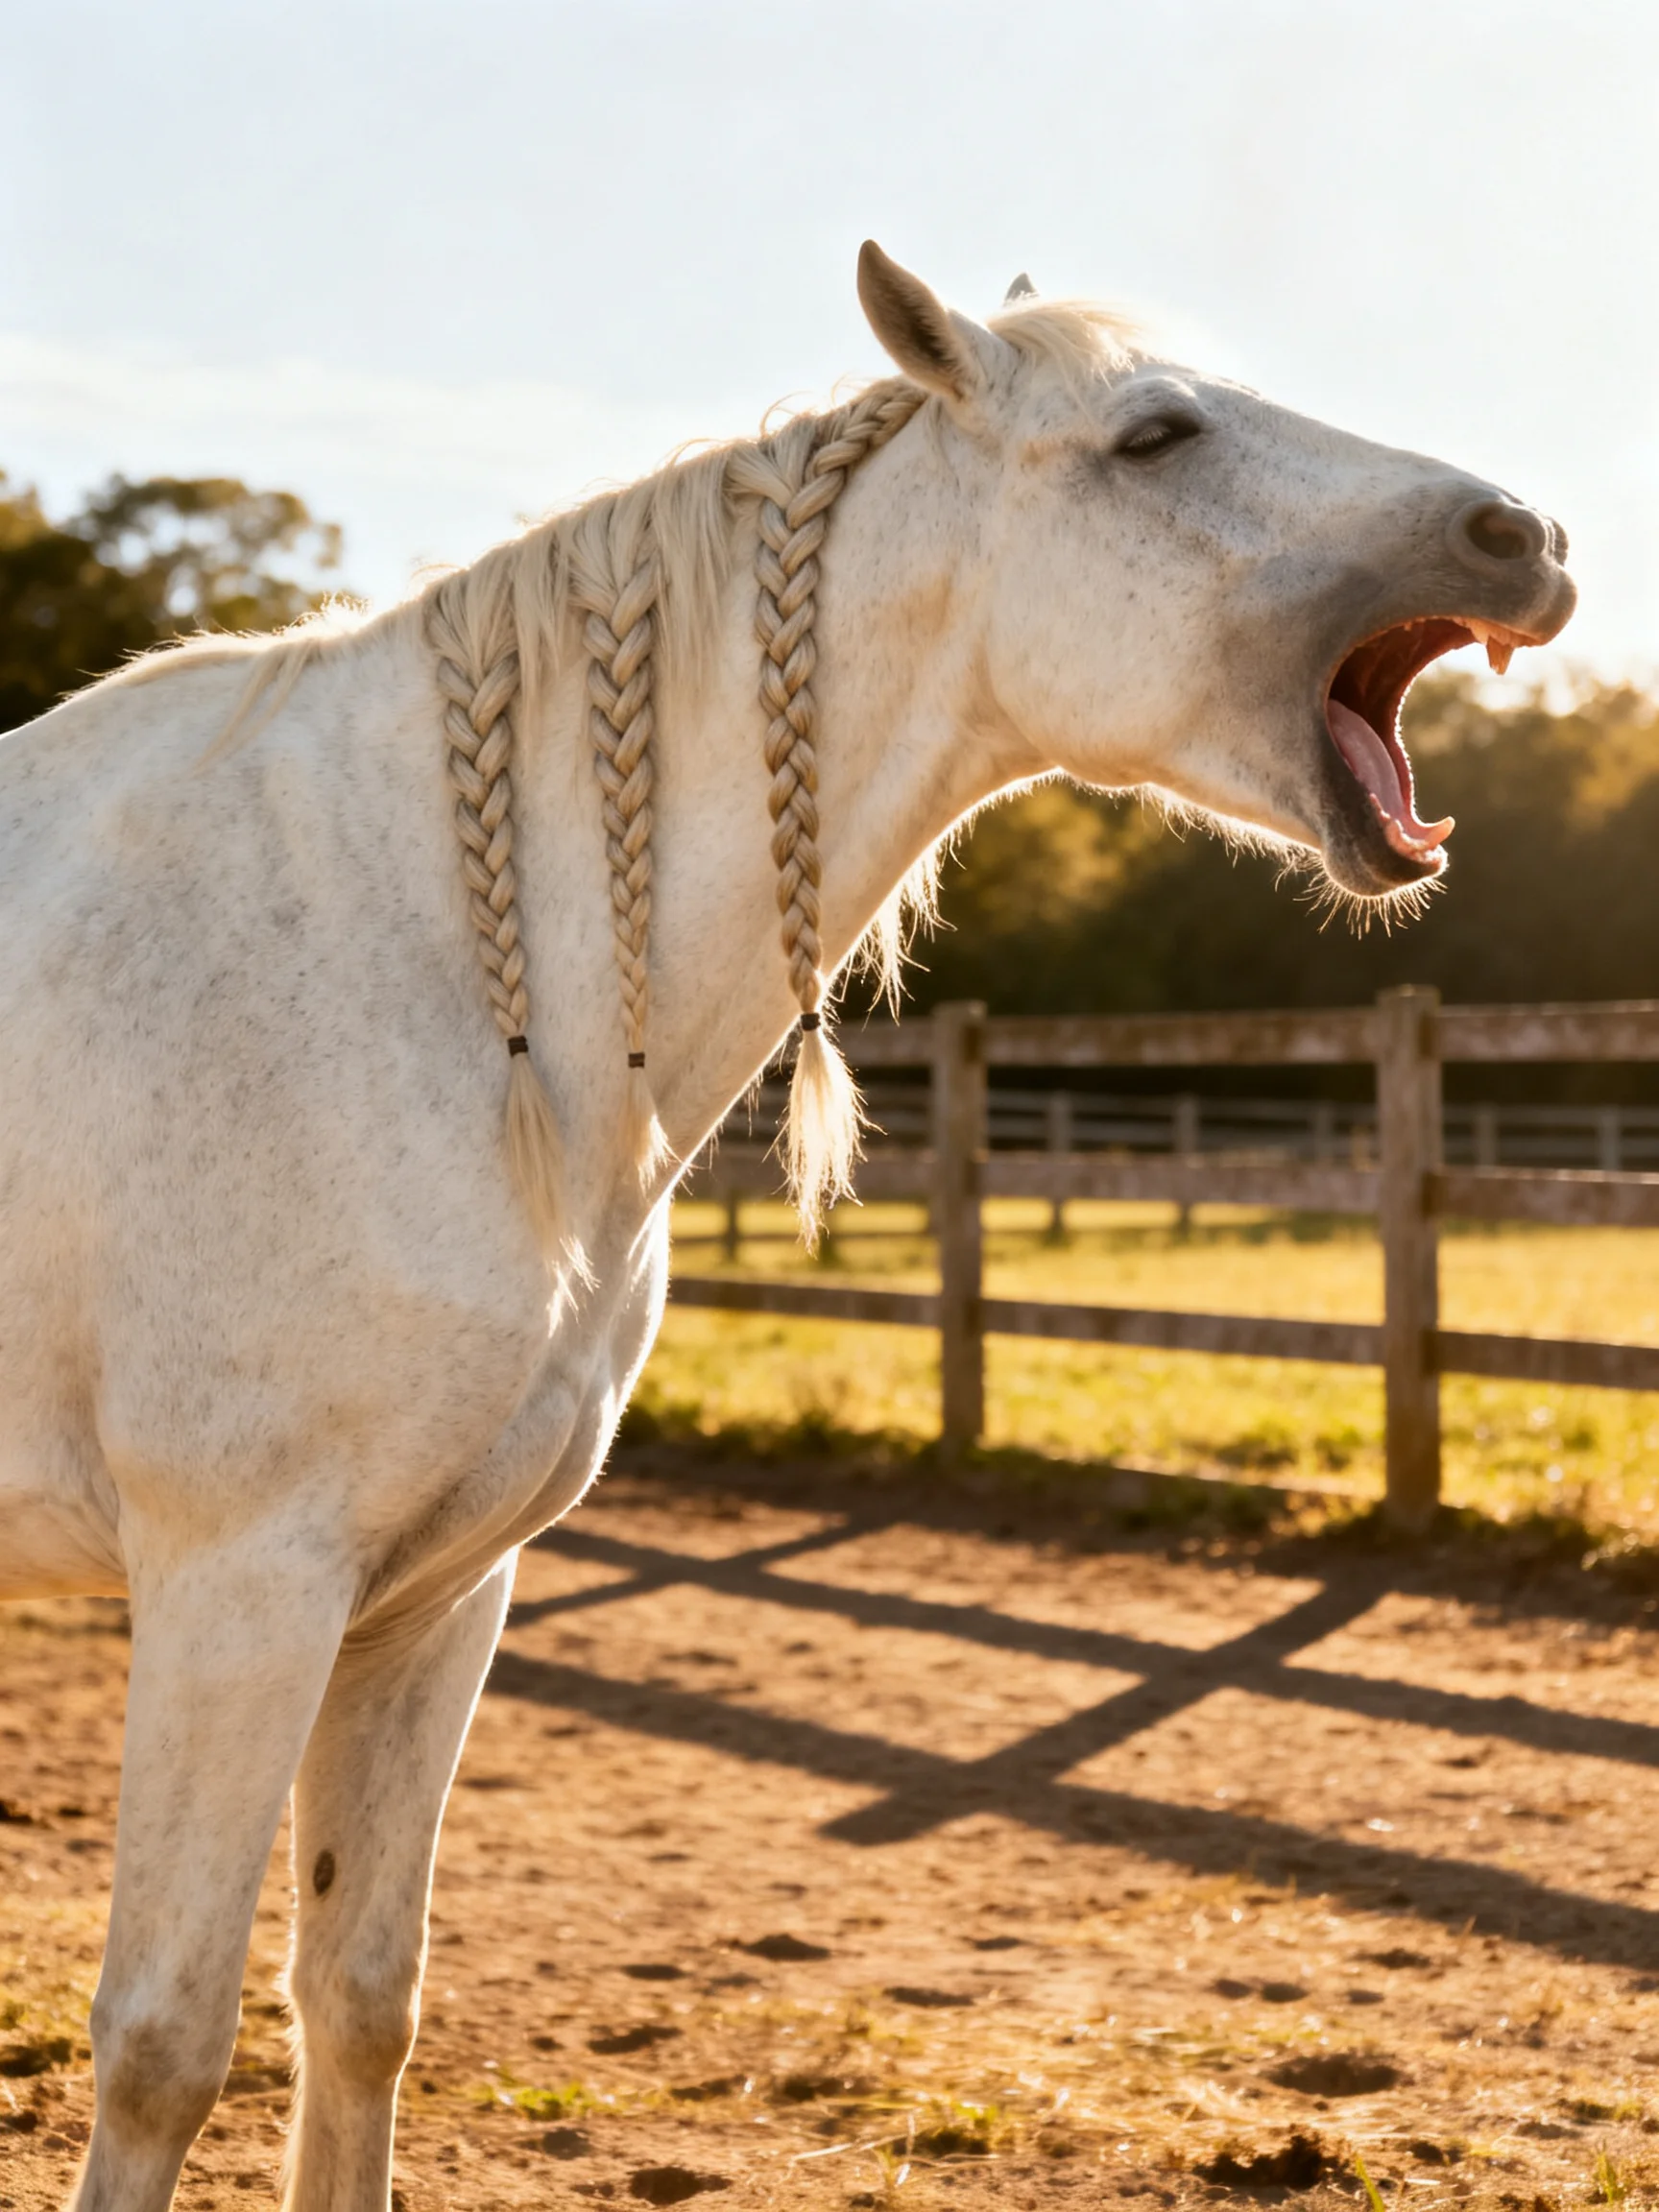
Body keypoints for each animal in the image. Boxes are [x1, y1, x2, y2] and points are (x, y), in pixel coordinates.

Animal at [0, 242, 1573, 2211]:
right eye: (1152, 434)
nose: (1523, 535)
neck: (426, 961)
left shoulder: (428, 1593)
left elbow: (358, 2003)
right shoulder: (241, 1584)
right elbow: (160, 2044)